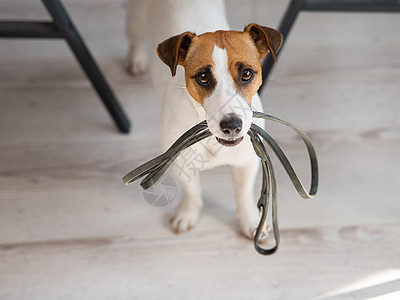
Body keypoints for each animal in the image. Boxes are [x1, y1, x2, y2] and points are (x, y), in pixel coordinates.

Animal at [125, 0, 282, 239]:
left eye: (247, 73)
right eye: (203, 77)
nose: (232, 126)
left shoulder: (247, 161)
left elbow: (243, 193)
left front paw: (250, 221)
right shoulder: (179, 161)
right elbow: (192, 191)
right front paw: (187, 213)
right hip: (136, 20)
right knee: (135, 38)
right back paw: (136, 59)